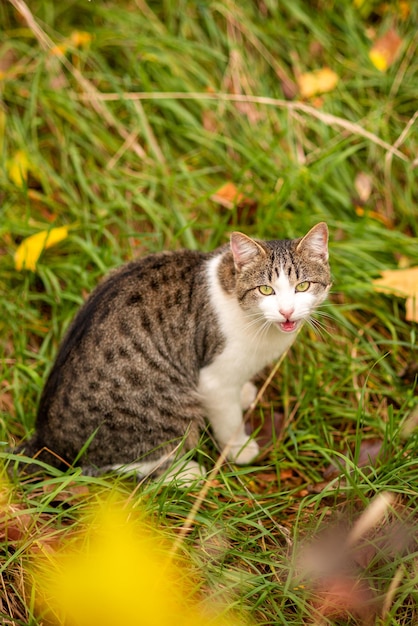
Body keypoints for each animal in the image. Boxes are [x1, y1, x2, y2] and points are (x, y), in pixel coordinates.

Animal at [16, 222, 332, 480]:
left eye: (303, 286)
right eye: (266, 290)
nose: (287, 311)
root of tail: (46, 438)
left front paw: (244, 394)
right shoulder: (213, 381)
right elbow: (228, 420)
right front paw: (238, 447)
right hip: (168, 413)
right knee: (118, 466)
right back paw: (185, 473)